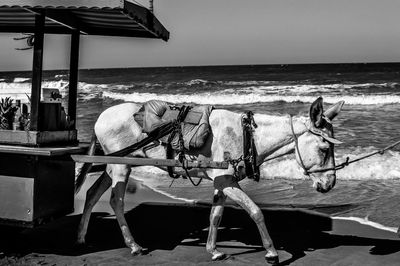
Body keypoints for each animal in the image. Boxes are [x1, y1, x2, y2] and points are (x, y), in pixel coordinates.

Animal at [74, 96, 344, 264]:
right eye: (324, 149)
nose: (330, 183)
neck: (248, 136)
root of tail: (101, 117)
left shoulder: (222, 183)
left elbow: (215, 215)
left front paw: (213, 251)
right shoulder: (227, 181)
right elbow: (256, 212)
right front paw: (271, 253)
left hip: (114, 165)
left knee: (92, 194)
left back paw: (81, 237)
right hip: (121, 168)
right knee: (116, 202)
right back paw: (133, 245)